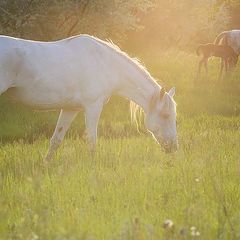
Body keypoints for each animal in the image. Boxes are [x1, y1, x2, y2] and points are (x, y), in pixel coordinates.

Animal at [0, 34, 178, 161]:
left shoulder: (70, 109)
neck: (105, 64)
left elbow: (56, 139)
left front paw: (46, 165)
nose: (174, 148)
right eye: (166, 115)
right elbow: (92, 140)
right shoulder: (93, 107)